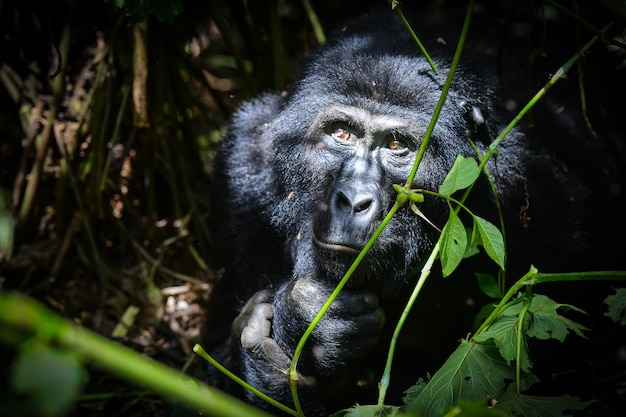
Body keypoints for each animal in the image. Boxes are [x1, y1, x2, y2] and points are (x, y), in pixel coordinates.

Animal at [204, 8, 620, 414]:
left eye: (396, 144)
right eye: (341, 133)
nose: (353, 201)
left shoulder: (535, 199)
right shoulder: (245, 163)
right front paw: (295, 325)